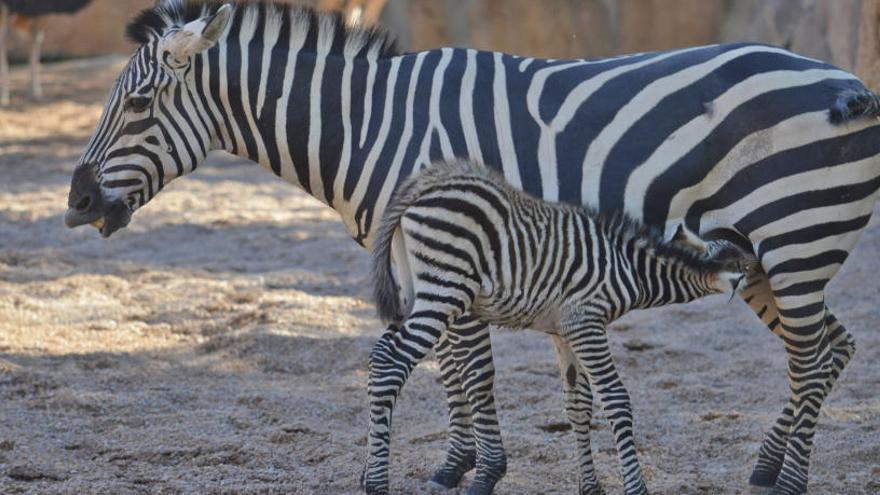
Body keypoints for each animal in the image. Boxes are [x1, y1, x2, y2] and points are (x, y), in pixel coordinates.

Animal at [368, 161, 752, 494]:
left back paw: (369, 472)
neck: (630, 268)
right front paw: (636, 488)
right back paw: (376, 483)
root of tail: (419, 190)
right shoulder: (586, 322)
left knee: (379, 356)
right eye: (752, 267)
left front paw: (591, 487)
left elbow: (578, 403)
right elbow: (615, 399)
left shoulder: (565, 330)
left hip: (416, 291)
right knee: (392, 362)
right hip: (445, 290)